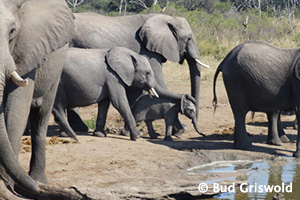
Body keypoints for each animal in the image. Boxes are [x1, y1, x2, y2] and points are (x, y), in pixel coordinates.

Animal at [0, 0, 87, 198]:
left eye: (12, 31)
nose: (36, 188)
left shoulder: (27, 49)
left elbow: (16, 110)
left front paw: (6, 188)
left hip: (56, 71)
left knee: (40, 117)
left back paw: (38, 180)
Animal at [67, 12, 211, 134]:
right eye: (188, 38)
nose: (191, 99)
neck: (166, 18)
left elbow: (135, 92)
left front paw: (126, 132)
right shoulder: (147, 51)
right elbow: (160, 85)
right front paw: (180, 130)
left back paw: (79, 128)